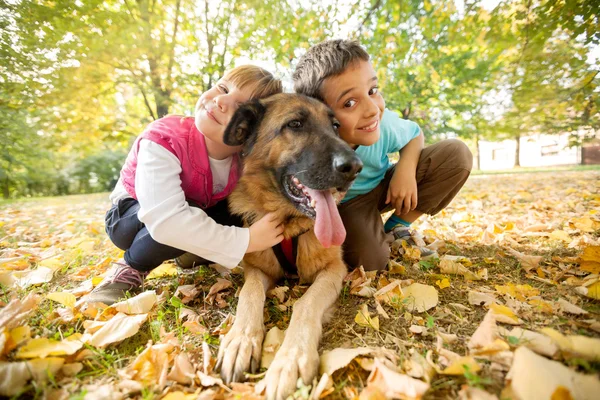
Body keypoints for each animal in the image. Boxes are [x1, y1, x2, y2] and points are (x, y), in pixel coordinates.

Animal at [218, 94, 364, 400]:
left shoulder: (334, 268)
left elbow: (305, 304)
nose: (356, 167)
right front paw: (240, 341)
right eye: (295, 124)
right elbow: (249, 294)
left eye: (335, 126)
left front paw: (290, 360)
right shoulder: (255, 269)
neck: (288, 225)